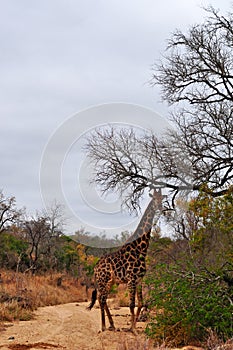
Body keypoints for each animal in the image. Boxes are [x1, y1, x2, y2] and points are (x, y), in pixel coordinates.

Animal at [88, 190, 164, 332]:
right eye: (154, 199)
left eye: (162, 198)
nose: (161, 207)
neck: (141, 249)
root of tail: (95, 268)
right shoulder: (131, 279)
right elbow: (131, 304)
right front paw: (132, 329)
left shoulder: (139, 279)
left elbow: (140, 303)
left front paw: (133, 326)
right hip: (103, 280)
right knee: (102, 299)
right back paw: (104, 326)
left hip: (109, 282)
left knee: (102, 299)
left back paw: (112, 325)